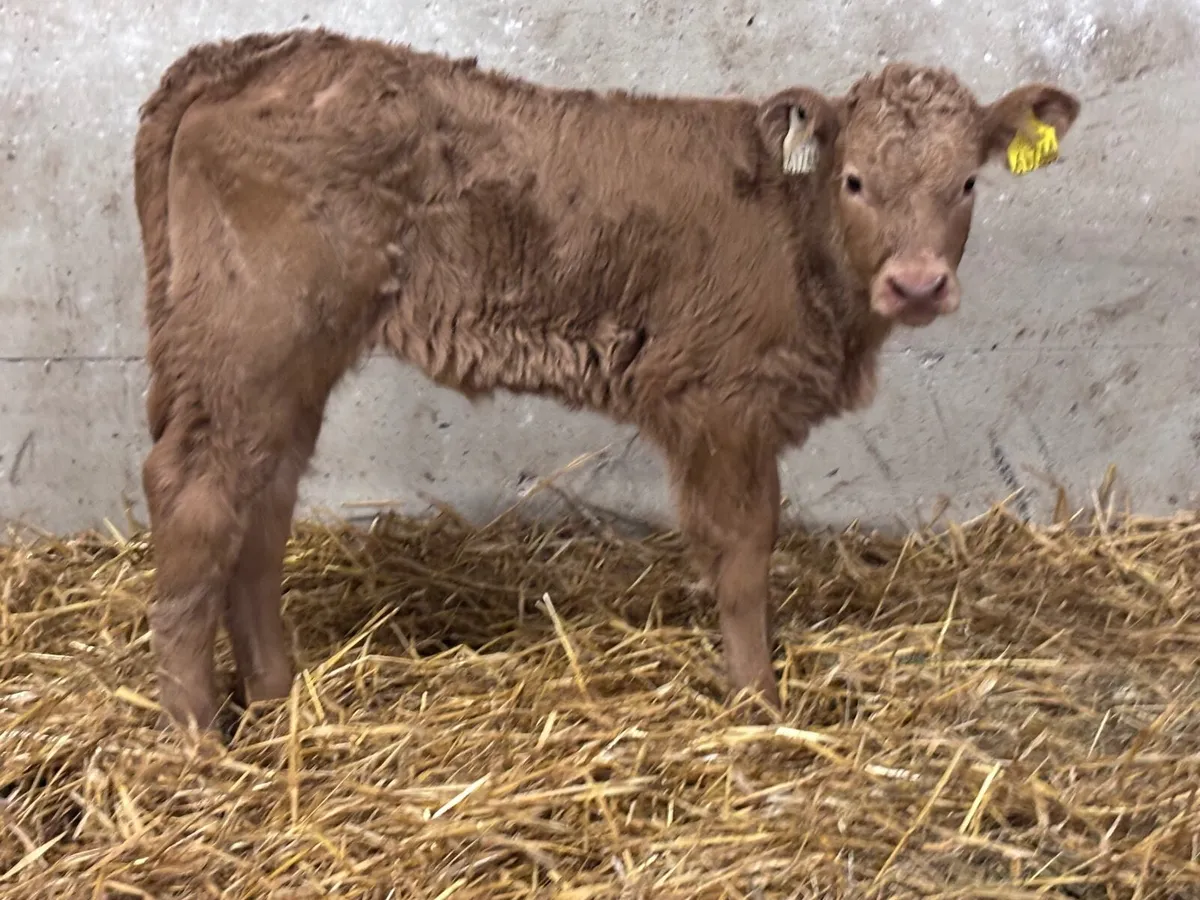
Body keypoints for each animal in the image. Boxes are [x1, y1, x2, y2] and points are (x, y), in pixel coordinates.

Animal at [132, 27, 1080, 733]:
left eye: (967, 182)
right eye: (855, 180)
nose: (917, 283)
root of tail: (253, 53)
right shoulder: (719, 398)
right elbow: (744, 552)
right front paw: (758, 700)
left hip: (288, 357)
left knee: (262, 504)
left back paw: (276, 699)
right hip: (255, 336)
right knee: (196, 494)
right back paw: (196, 733)